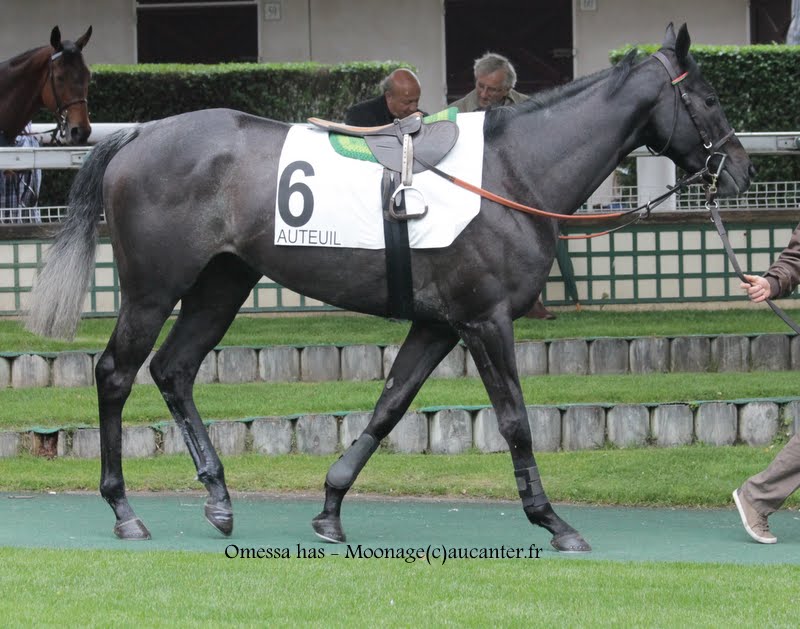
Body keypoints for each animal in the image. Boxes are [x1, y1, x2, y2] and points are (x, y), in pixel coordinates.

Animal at [28, 27, 756, 552]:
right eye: (709, 99)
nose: (741, 170)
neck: (512, 171)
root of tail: (137, 135)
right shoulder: (484, 320)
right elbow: (516, 422)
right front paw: (554, 521)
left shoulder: (437, 324)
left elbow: (388, 407)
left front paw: (329, 508)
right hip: (153, 290)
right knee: (116, 373)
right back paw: (124, 509)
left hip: (223, 283)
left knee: (174, 370)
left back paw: (218, 496)